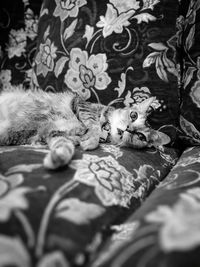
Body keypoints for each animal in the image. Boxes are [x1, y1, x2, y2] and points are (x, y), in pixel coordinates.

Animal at [0, 89, 170, 170]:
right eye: (133, 115)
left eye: (141, 136)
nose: (128, 128)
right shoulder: (81, 104)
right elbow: (93, 126)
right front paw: (91, 140)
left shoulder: (53, 133)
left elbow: (64, 145)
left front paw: (57, 158)